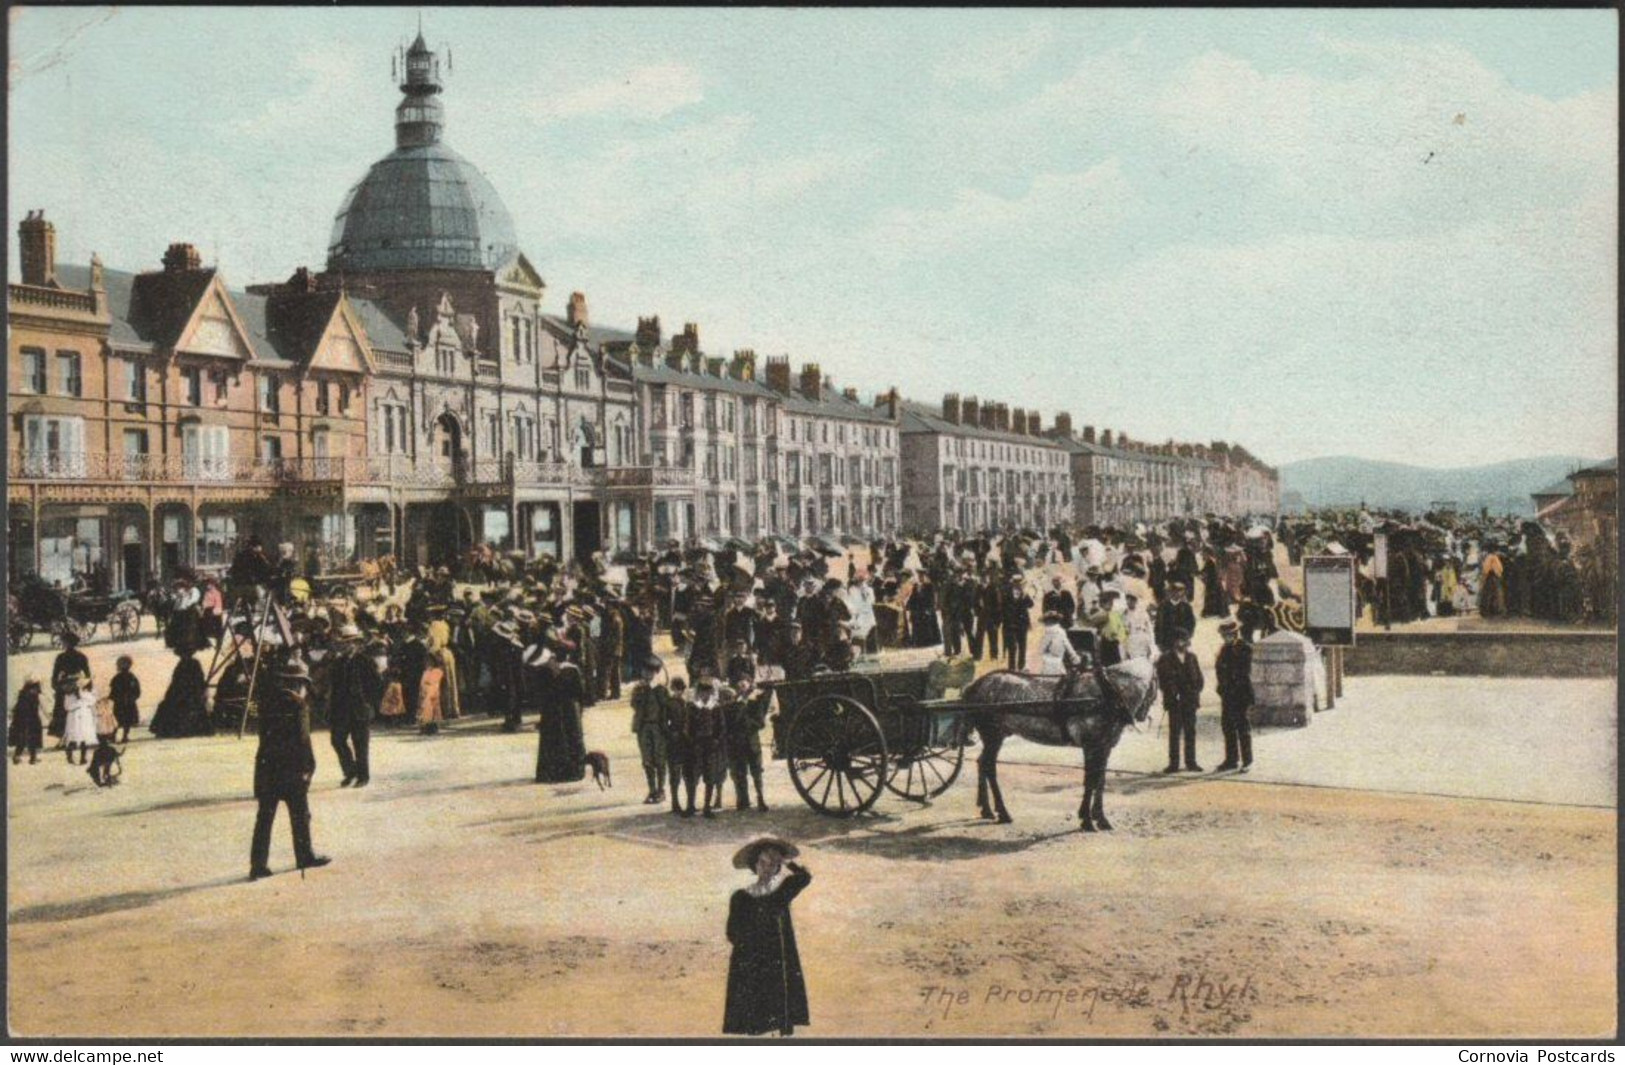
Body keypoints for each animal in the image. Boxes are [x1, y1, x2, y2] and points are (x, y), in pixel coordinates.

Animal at [962, 656, 1157, 832]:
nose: (1142, 715)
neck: (1110, 692)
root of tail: (976, 685)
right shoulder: (1091, 746)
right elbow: (1090, 781)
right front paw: (1087, 820)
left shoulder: (1105, 746)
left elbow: (1100, 781)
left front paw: (1100, 818)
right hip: (992, 734)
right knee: (989, 766)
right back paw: (1003, 812)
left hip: (996, 736)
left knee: (982, 762)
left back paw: (987, 809)